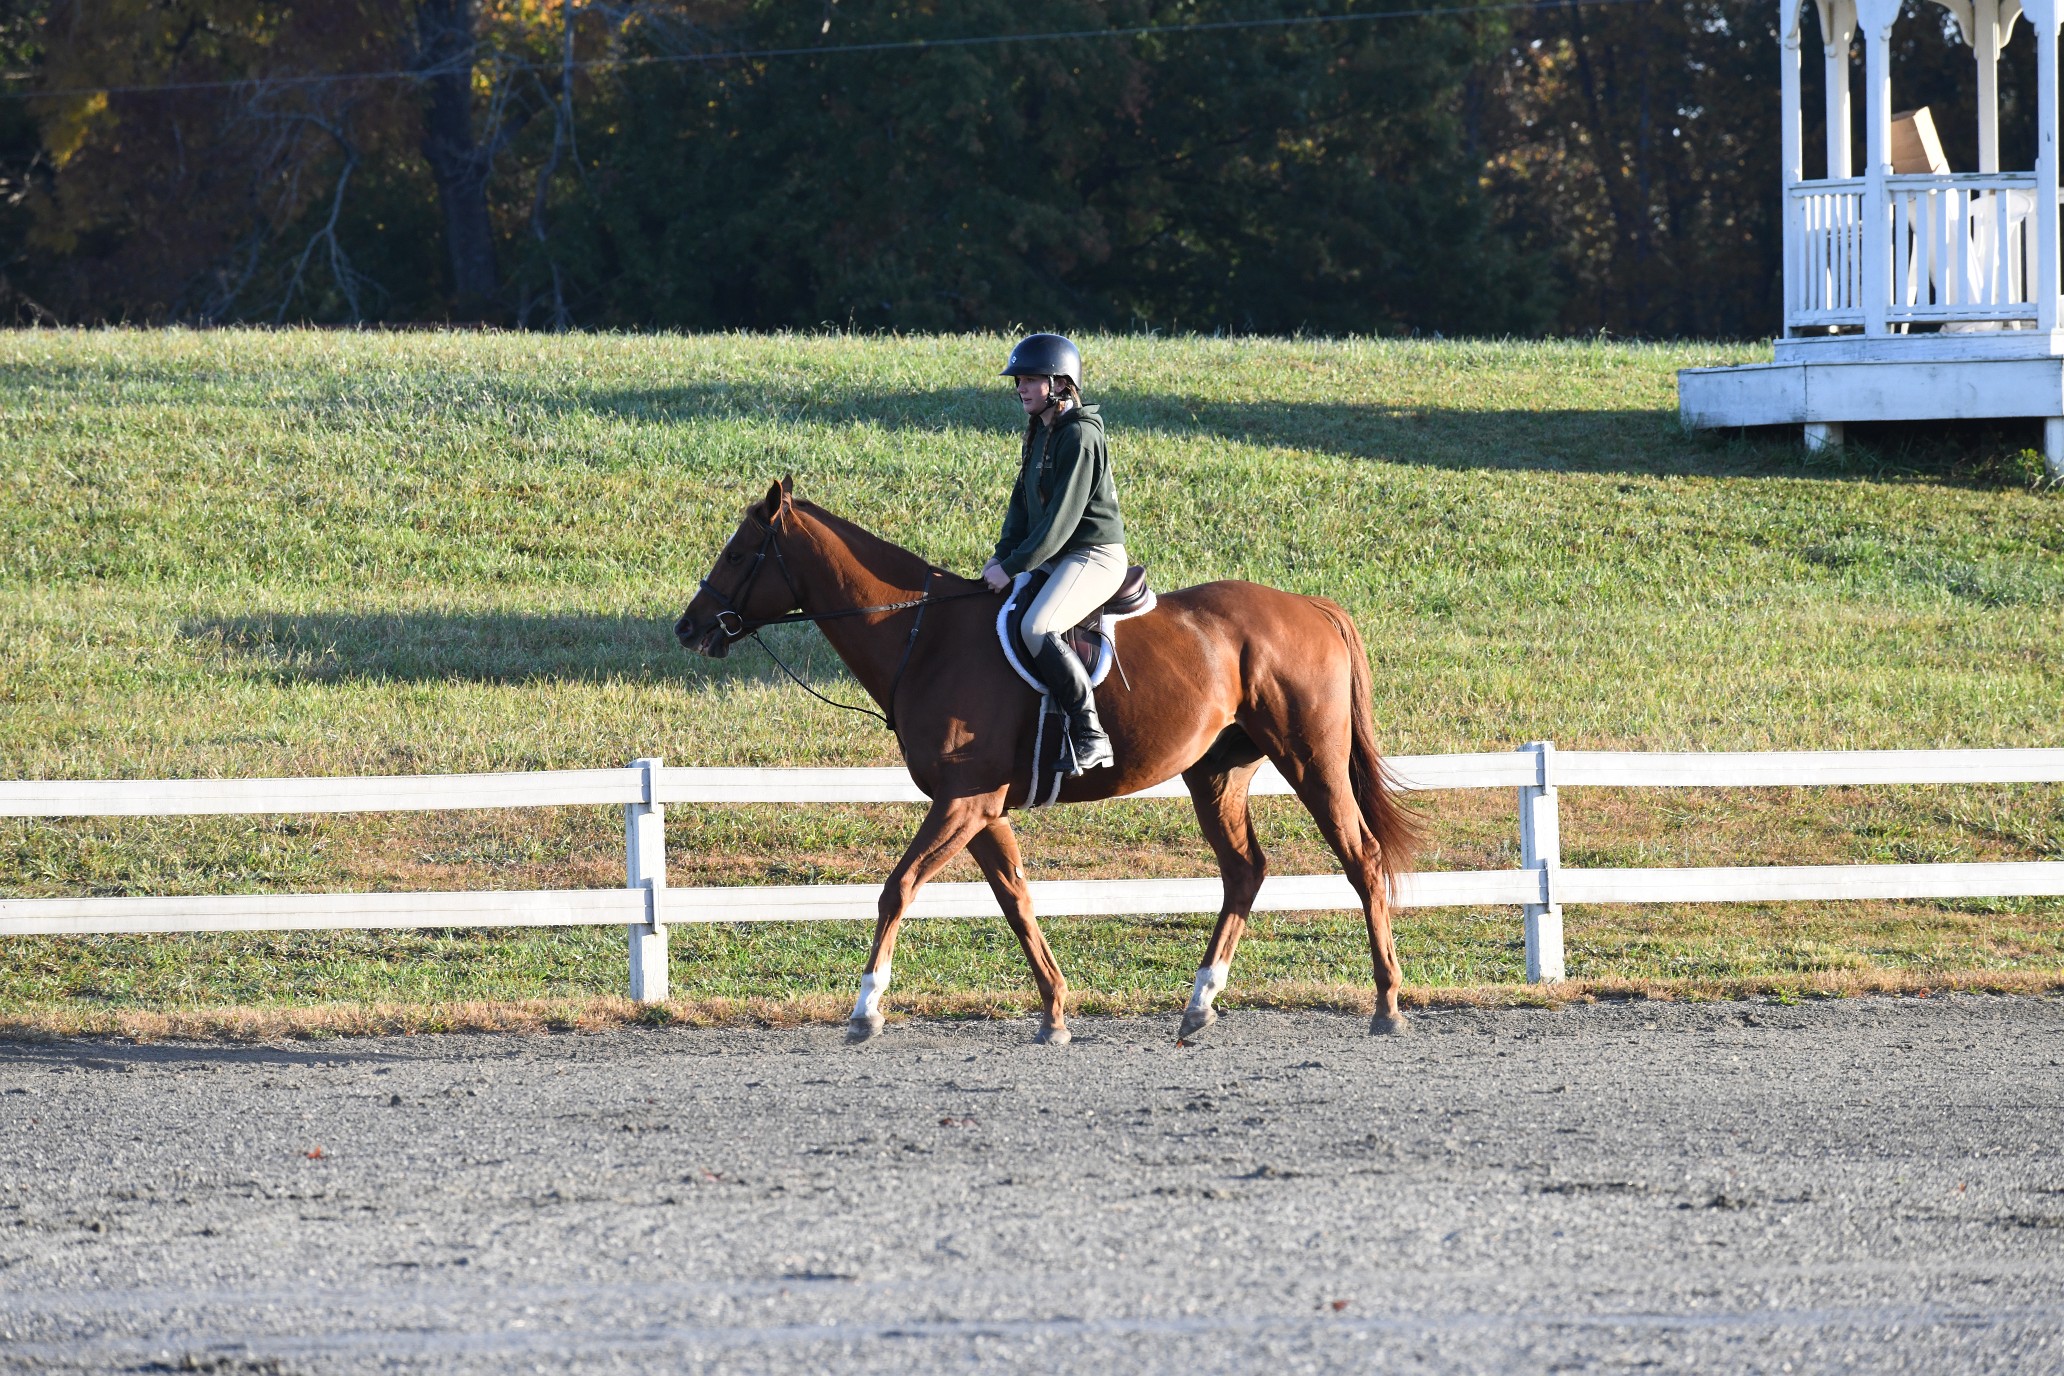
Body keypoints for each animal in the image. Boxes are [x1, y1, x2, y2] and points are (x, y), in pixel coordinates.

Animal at [676, 477, 1419, 1045]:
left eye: (739, 553)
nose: (688, 627)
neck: (924, 633)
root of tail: (1310, 607)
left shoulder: (965, 801)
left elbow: (898, 888)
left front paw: (866, 1009)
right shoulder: (978, 808)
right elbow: (1016, 899)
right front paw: (1055, 1012)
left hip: (1311, 761)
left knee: (1361, 858)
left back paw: (1386, 1005)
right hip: (1216, 773)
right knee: (1244, 871)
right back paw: (1199, 1003)